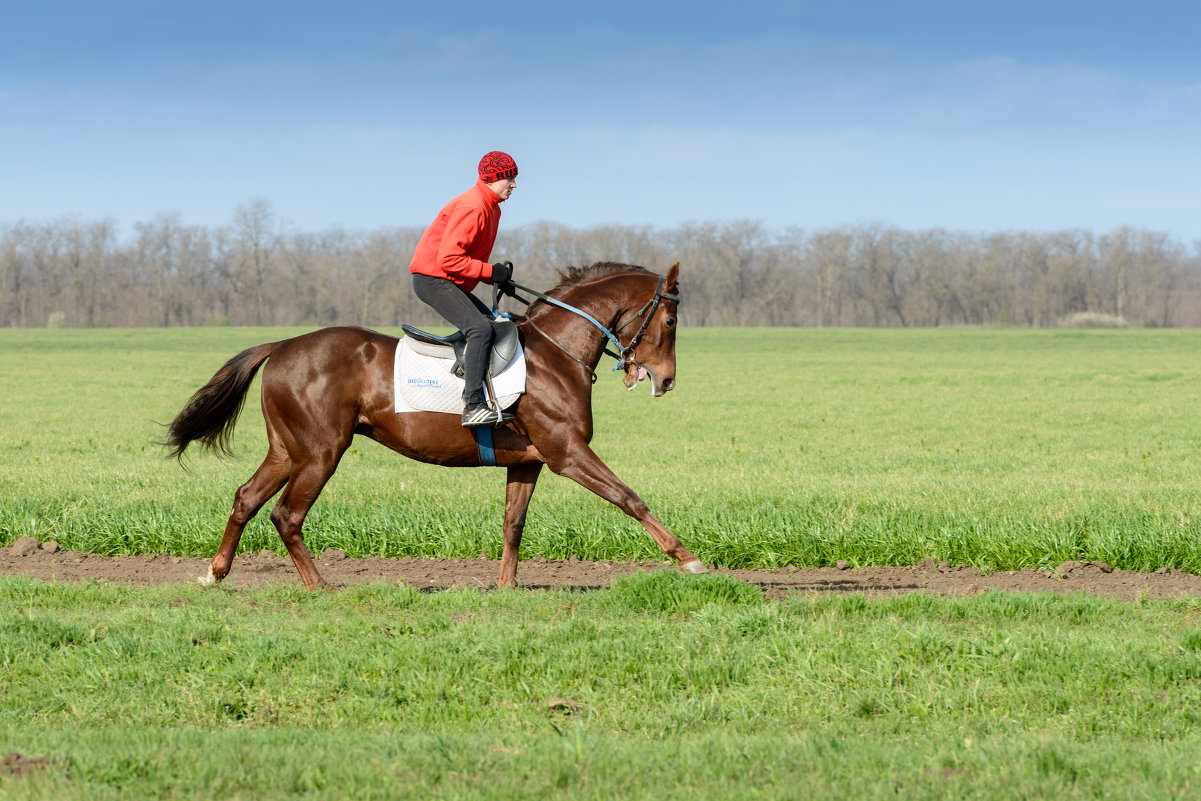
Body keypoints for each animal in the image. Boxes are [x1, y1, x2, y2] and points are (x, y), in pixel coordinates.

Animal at [158, 261, 701, 588]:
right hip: (320, 453)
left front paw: (506, 587)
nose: (669, 380)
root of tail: (283, 344)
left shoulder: (529, 461)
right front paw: (688, 558)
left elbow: (513, 523)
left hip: (287, 450)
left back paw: (216, 572)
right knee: (286, 515)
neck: (555, 353)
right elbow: (629, 497)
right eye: (671, 322)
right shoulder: (567, 452)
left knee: (246, 498)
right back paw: (319, 586)